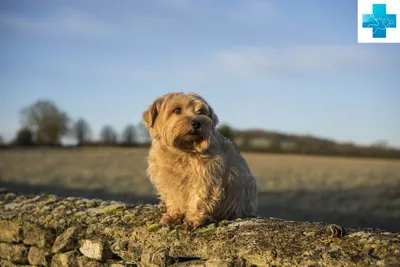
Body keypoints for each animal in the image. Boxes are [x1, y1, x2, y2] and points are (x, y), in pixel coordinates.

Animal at [142, 92, 258, 230]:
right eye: (177, 110)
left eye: (201, 111)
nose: (197, 122)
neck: (182, 150)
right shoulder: (167, 180)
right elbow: (173, 199)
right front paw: (172, 216)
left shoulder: (206, 177)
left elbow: (199, 199)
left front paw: (193, 220)